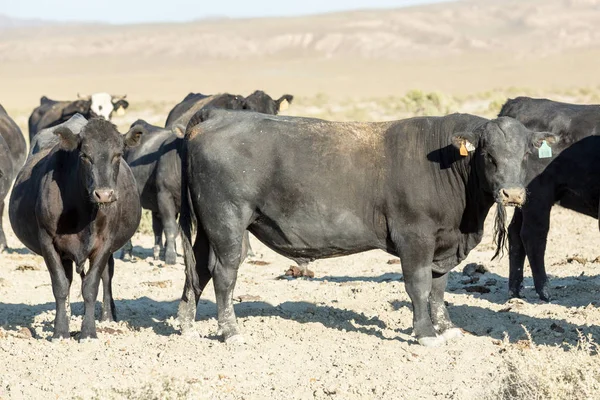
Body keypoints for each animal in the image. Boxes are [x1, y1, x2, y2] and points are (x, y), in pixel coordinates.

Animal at [8, 115, 142, 340]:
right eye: (85, 155)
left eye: (118, 155)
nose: (104, 194)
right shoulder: (48, 241)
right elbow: (60, 285)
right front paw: (60, 330)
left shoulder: (105, 243)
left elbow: (91, 285)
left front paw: (88, 332)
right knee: (69, 278)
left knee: (107, 276)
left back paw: (107, 316)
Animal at [176, 109, 556, 346]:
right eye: (489, 155)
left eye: (524, 155)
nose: (513, 194)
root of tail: (216, 116)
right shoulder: (414, 237)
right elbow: (419, 286)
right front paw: (425, 333)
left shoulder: (443, 243)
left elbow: (438, 288)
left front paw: (446, 328)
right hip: (227, 221)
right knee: (223, 274)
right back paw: (230, 332)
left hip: (208, 228)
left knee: (198, 271)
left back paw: (187, 326)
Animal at [496, 97, 600, 302]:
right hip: (538, 196)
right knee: (533, 234)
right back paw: (544, 291)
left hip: (523, 199)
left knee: (515, 233)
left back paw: (515, 291)